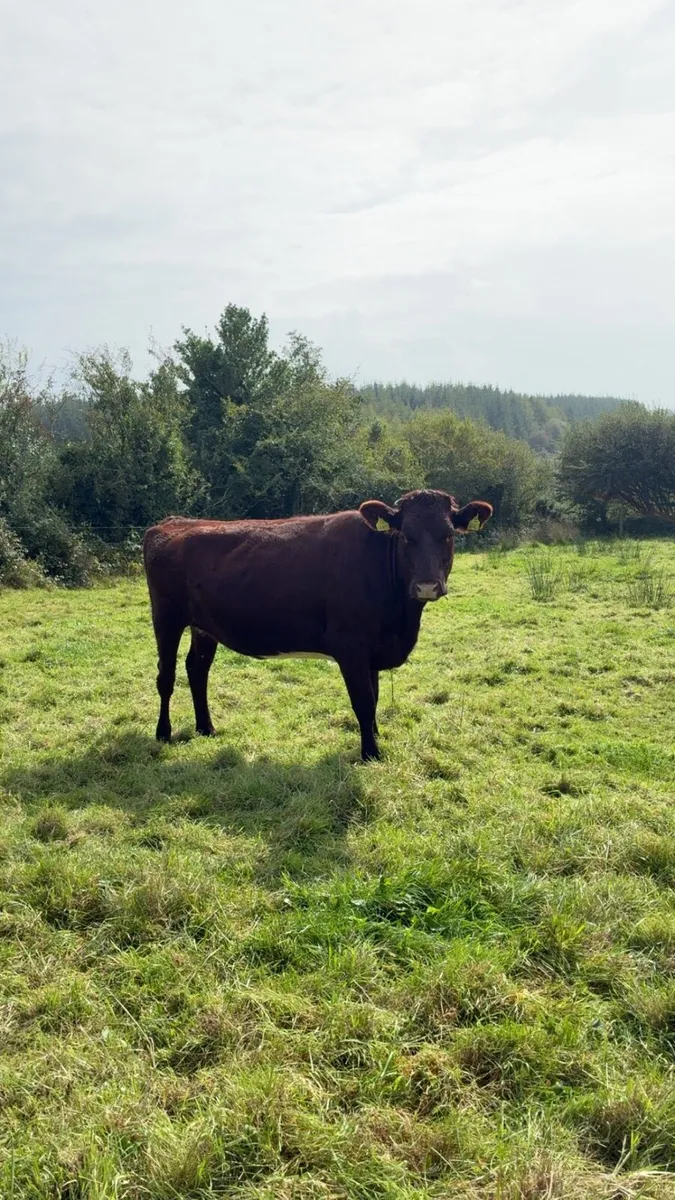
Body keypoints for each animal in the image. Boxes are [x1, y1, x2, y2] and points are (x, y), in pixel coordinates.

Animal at [142, 490, 492, 761]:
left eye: (449, 535)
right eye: (406, 535)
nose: (427, 586)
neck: (400, 620)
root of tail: (173, 522)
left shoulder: (372, 651)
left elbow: (375, 697)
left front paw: (375, 737)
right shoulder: (350, 645)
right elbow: (364, 701)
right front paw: (371, 753)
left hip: (203, 625)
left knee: (197, 669)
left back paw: (206, 727)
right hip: (166, 617)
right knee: (166, 676)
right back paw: (163, 733)